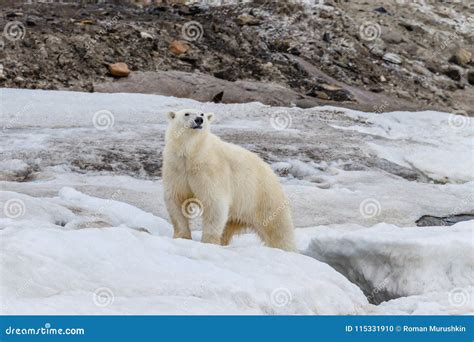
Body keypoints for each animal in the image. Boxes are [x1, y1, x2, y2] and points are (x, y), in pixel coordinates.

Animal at [163, 109, 296, 251]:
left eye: (202, 114)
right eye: (186, 114)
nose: (199, 120)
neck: (192, 155)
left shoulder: (211, 171)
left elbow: (214, 203)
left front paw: (208, 242)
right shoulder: (176, 169)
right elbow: (176, 199)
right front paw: (182, 237)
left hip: (263, 198)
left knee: (278, 228)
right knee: (228, 227)